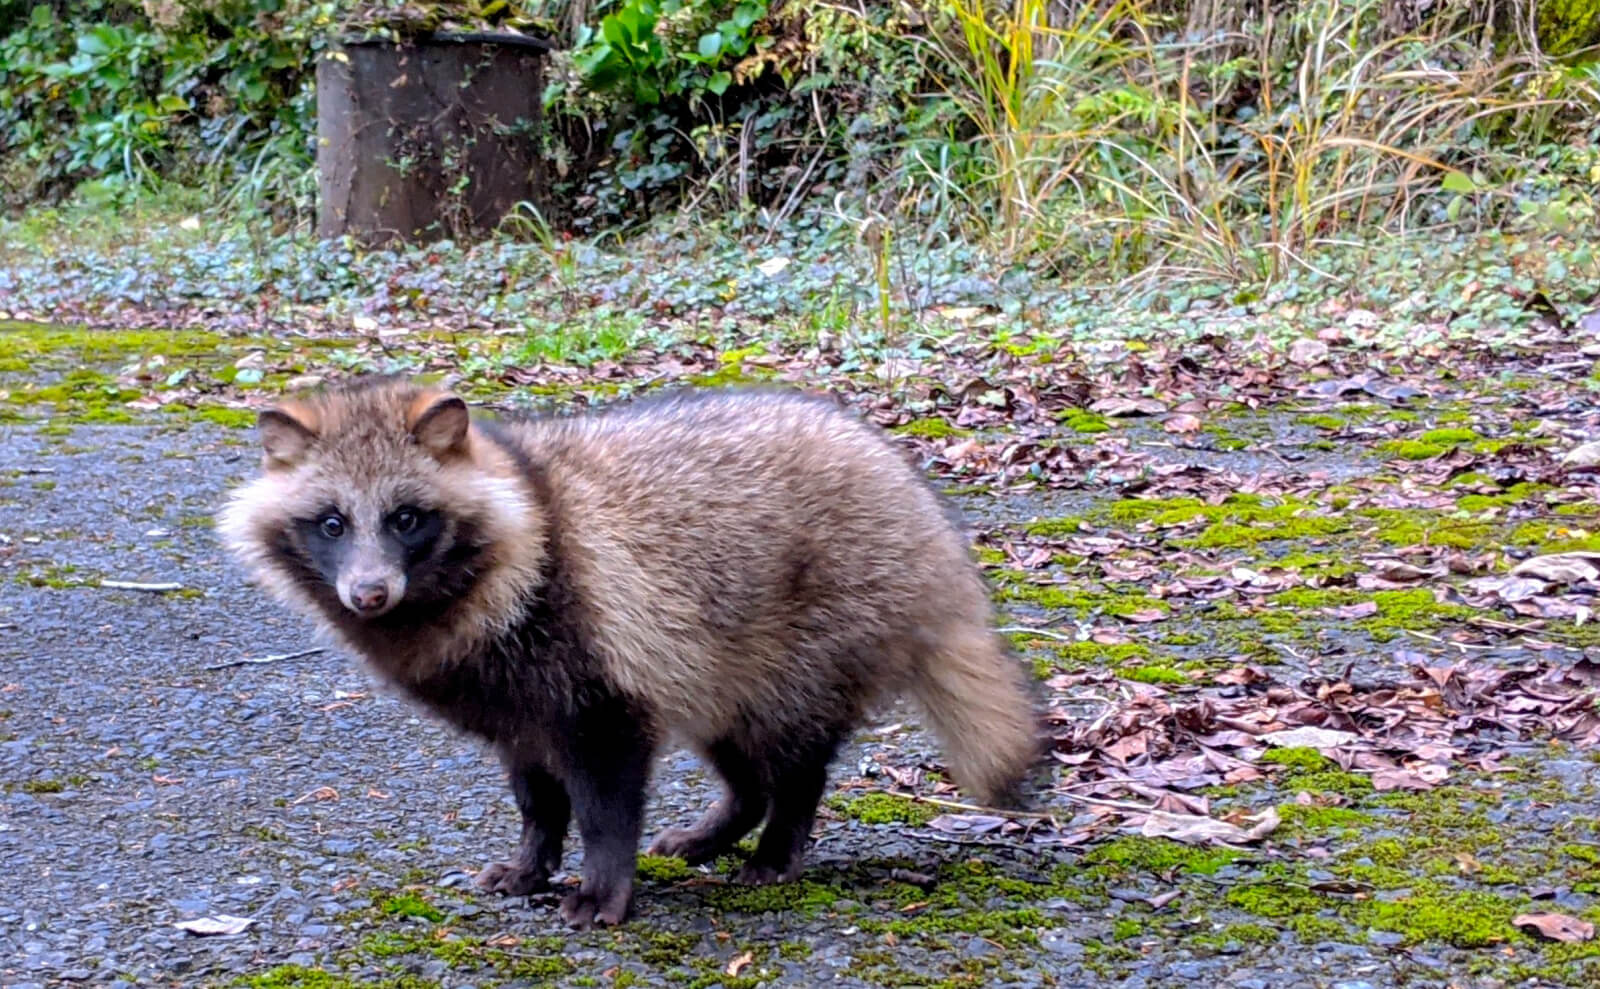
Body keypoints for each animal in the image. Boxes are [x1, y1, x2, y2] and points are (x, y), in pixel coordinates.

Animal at [219, 372, 1043, 928]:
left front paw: (603, 881)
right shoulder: (514, 701)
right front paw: (534, 859)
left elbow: (606, 800)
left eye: (406, 518)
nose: (369, 593)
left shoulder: (594, 666)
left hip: (812, 636)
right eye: (332, 522)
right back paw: (726, 821)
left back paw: (779, 841)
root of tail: (915, 500)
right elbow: (536, 793)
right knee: (744, 761)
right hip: (717, 661)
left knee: (795, 760)